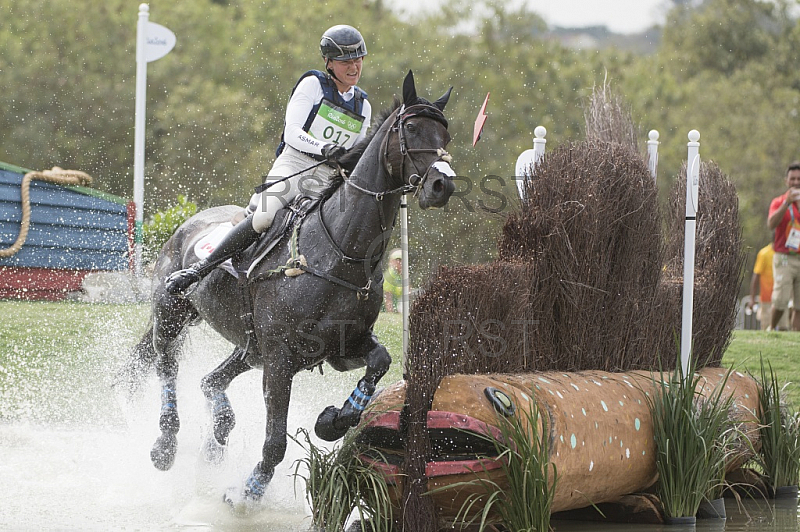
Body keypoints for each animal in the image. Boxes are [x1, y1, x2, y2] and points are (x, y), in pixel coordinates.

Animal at [122, 70, 454, 502]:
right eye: (411, 128)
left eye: (446, 136)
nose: (442, 185)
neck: (341, 252)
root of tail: (190, 221)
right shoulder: (280, 360)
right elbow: (276, 440)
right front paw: (249, 491)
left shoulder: (341, 347)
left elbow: (380, 361)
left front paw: (335, 419)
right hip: (172, 312)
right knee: (166, 364)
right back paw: (165, 444)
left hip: (249, 349)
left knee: (210, 380)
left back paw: (216, 439)